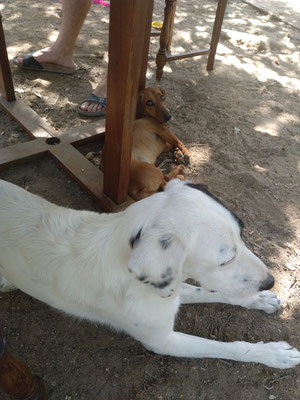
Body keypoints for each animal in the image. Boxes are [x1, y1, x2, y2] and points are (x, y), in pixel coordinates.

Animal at [0, 179, 300, 368]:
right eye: (225, 259)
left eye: (242, 233)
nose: (270, 281)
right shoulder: (165, 341)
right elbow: (228, 347)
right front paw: (271, 354)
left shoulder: (173, 290)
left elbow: (212, 291)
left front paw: (259, 300)